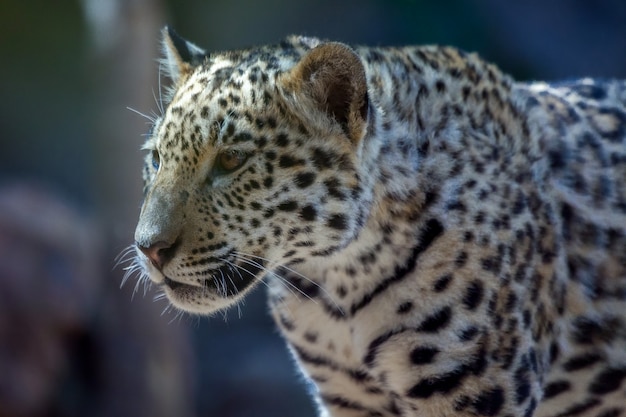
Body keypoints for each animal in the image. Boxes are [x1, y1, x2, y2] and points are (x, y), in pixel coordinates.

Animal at [130, 26, 624, 416]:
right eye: (156, 160)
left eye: (231, 160)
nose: (149, 248)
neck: (338, 280)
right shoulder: (347, 397)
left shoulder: (480, 392)